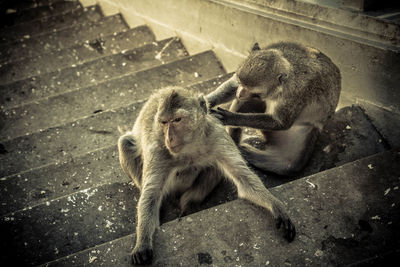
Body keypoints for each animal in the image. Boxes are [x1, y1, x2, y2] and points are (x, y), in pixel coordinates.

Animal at [117, 87, 296, 266]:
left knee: (214, 167)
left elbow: (243, 179)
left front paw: (276, 206)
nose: (169, 138)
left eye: (177, 120)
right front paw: (142, 243)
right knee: (125, 142)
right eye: (163, 122)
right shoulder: (157, 149)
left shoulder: (218, 138)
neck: (190, 146)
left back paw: (189, 203)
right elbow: (151, 195)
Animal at [206, 41, 340, 176]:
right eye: (240, 82)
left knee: (288, 165)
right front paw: (207, 101)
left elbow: (281, 123)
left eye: (256, 93)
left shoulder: (294, 94)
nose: (239, 94)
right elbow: (232, 86)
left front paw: (231, 118)